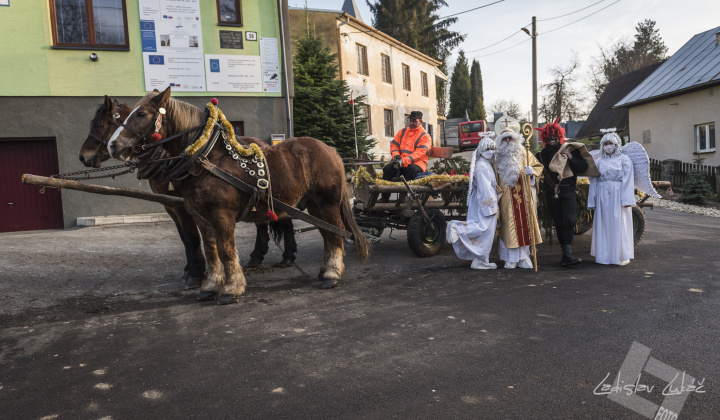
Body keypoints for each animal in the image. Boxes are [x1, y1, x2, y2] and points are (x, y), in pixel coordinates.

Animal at [109, 88, 368, 304]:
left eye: (141, 113)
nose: (113, 145)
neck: (205, 157)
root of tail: (329, 149)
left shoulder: (221, 214)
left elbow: (225, 250)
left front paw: (231, 289)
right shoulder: (200, 216)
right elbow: (211, 250)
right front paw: (210, 286)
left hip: (327, 203)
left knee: (335, 234)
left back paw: (332, 274)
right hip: (315, 206)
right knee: (328, 234)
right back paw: (326, 271)